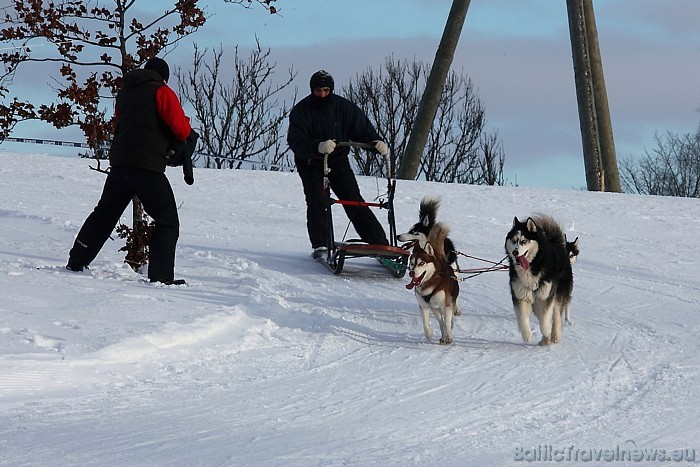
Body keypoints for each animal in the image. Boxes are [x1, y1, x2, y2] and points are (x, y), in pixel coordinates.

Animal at [506, 215, 572, 344]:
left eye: (524, 241)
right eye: (513, 240)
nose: (515, 252)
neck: (533, 264)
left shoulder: (545, 296)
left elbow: (545, 320)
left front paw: (547, 332)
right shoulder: (520, 295)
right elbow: (522, 317)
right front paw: (527, 335)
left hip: (558, 293)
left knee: (556, 314)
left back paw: (554, 336)